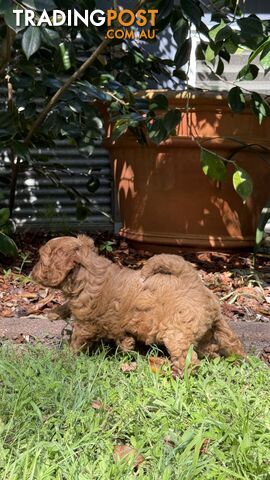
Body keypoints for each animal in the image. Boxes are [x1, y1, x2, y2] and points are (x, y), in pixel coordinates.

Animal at [32, 235, 245, 376]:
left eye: (42, 259)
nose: (32, 273)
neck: (87, 274)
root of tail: (192, 281)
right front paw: (54, 312)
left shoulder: (87, 323)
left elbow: (77, 339)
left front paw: (66, 356)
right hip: (213, 326)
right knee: (228, 343)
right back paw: (237, 360)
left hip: (177, 333)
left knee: (189, 360)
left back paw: (175, 373)